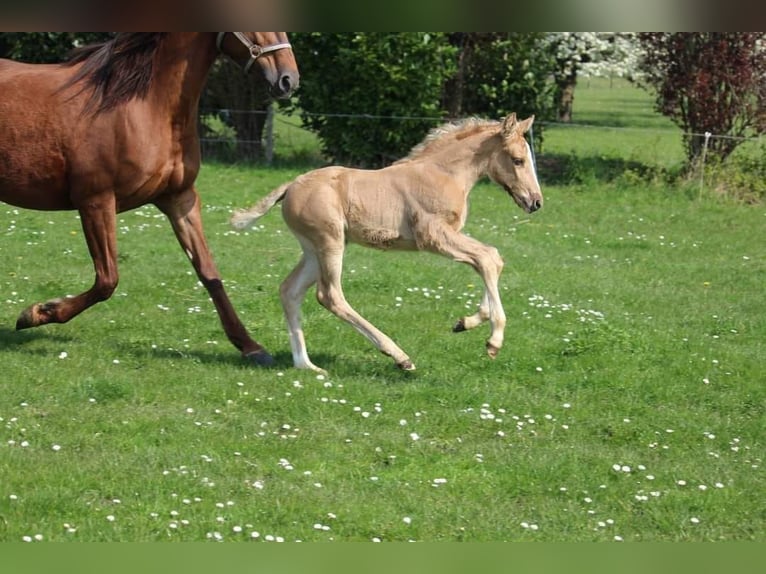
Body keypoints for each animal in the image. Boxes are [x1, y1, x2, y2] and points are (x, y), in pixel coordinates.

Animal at [0, 32, 298, 364]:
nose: (288, 79)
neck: (145, 106)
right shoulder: (95, 201)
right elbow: (107, 280)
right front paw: (37, 313)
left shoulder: (180, 199)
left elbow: (209, 273)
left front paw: (251, 346)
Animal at [231, 113, 544, 374]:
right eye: (518, 160)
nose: (536, 202)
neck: (444, 174)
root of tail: (290, 187)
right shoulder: (433, 235)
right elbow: (487, 257)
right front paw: (494, 340)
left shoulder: (450, 235)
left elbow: (491, 259)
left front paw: (465, 322)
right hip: (330, 242)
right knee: (329, 295)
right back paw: (400, 356)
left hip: (312, 249)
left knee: (290, 291)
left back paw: (306, 366)